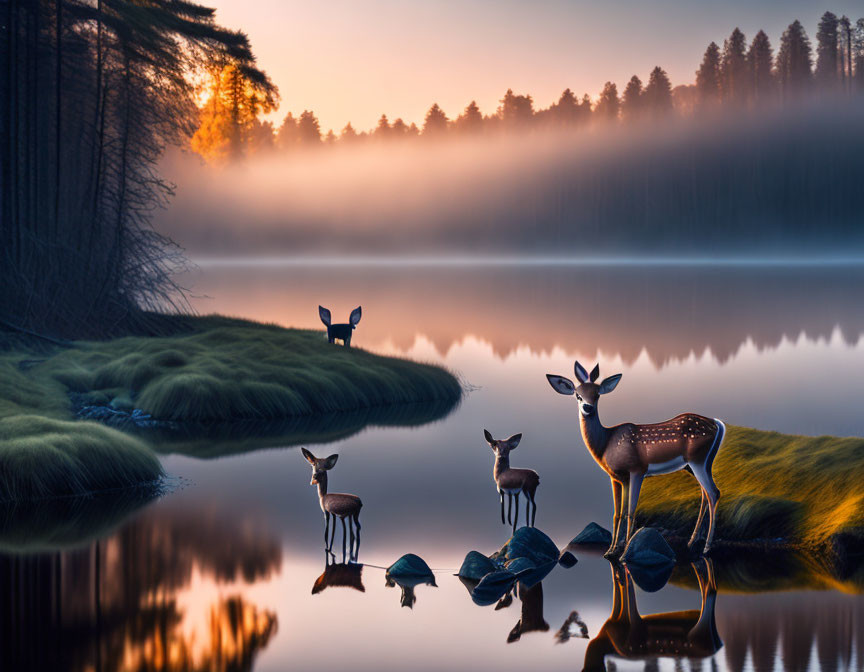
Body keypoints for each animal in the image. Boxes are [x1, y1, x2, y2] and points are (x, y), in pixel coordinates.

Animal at [548, 362, 724, 556]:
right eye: (578, 395)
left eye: (597, 395)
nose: (588, 407)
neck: (606, 444)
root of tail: (717, 423)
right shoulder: (617, 477)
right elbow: (618, 513)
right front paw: (611, 550)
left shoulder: (637, 469)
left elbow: (631, 511)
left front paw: (624, 552)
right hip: (697, 464)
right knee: (705, 494)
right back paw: (692, 542)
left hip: (698, 460)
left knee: (713, 492)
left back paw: (706, 547)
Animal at [580, 556, 724, 672]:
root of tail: (718, 644)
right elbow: (621, 587)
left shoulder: (631, 629)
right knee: (711, 588)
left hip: (698, 632)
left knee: (709, 593)